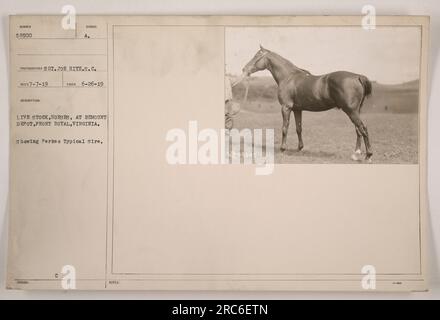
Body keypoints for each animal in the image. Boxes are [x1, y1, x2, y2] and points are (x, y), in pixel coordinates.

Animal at [241, 44, 372, 160]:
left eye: (257, 56)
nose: (244, 69)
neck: (288, 77)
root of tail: (357, 76)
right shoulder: (297, 109)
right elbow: (299, 128)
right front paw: (299, 148)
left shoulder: (286, 107)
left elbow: (285, 127)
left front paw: (283, 149)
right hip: (355, 111)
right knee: (358, 130)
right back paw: (356, 154)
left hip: (351, 111)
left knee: (363, 128)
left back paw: (368, 155)